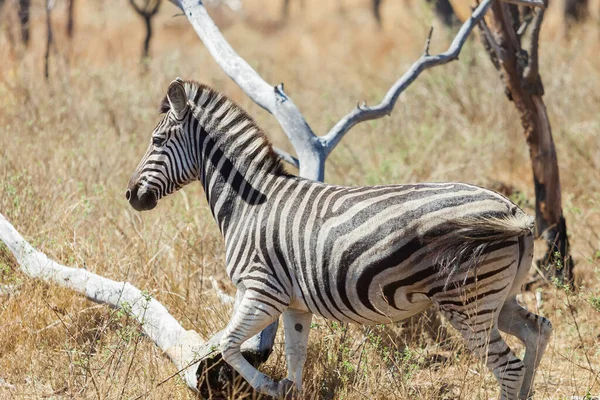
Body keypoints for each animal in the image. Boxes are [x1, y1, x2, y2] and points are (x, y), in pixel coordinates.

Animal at [126, 79, 552, 400]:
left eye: (157, 140)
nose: (130, 195)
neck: (248, 204)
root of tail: (513, 210)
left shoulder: (262, 290)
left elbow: (229, 344)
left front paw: (269, 386)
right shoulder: (295, 304)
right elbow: (295, 360)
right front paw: (287, 389)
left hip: (467, 302)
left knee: (508, 369)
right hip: (497, 296)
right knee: (538, 330)